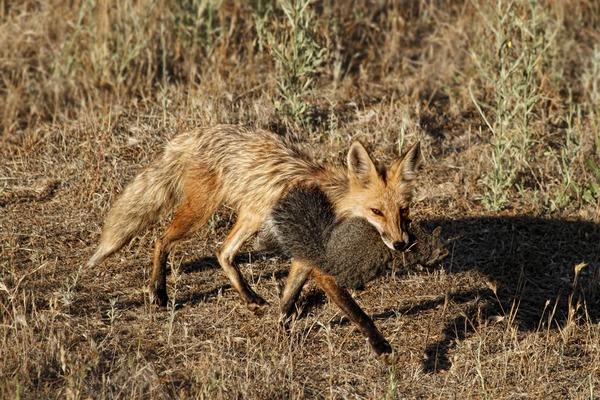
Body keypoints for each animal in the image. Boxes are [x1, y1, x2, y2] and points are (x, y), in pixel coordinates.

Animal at [86, 126, 422, 318]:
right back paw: (158, 292)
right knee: (161, 240)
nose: (400, 244)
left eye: (403, 211)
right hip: (199, 214)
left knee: (223, 253)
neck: (334, 201)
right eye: (376, 211)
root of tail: (197, 132)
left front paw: (284, 320)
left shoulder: (307, 252)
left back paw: (250, 298)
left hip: (252, 217)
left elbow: (291, 291)